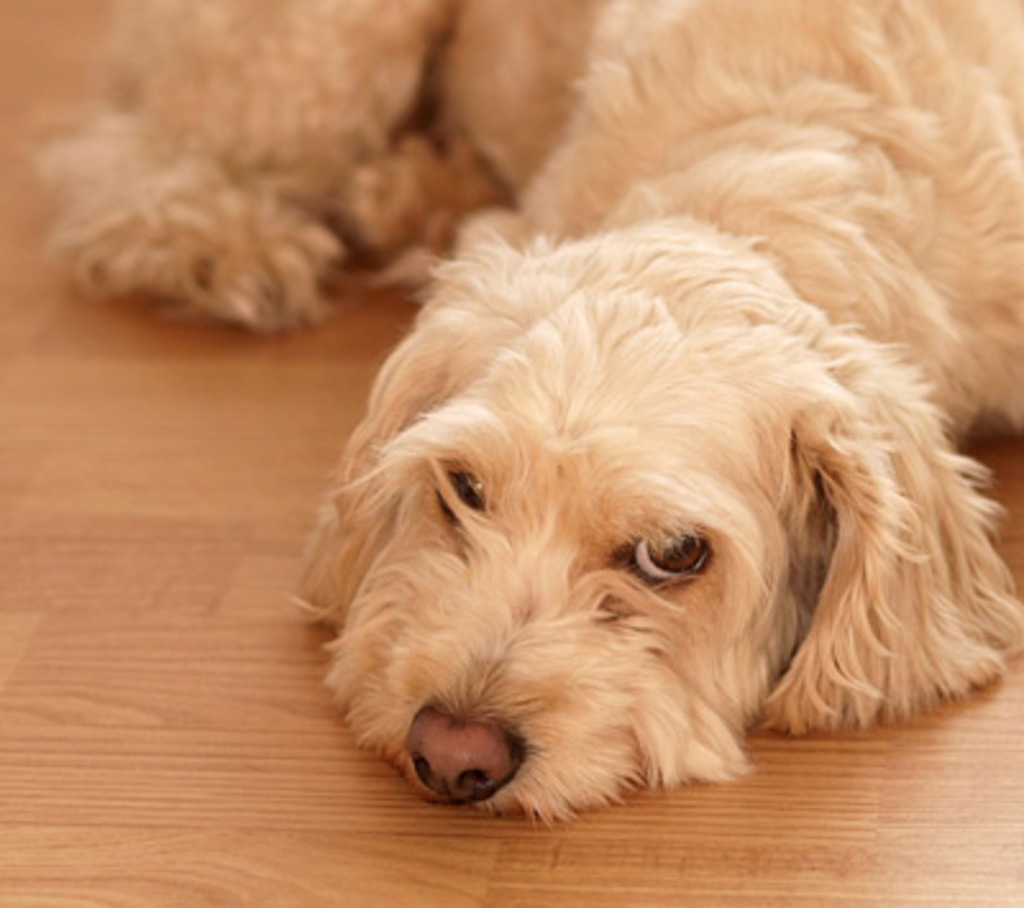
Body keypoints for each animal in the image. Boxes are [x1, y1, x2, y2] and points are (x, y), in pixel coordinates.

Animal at [44, 0, 1024, 823]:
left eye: (676, 554)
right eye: (465, 487)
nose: (451, 752)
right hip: (318, 54)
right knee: (119, 158)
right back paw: (224, 242)